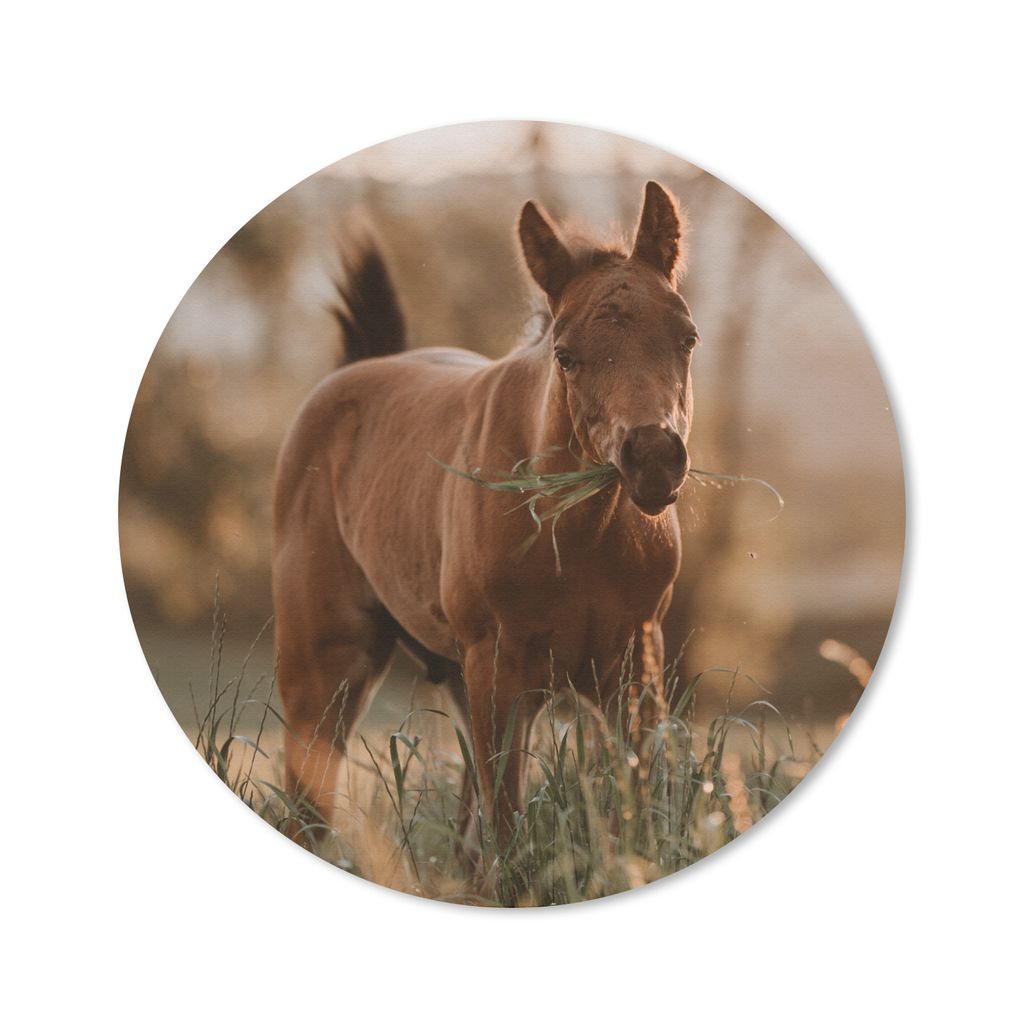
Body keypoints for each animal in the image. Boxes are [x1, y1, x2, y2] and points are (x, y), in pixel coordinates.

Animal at [272, 181, 699, 844]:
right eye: (565, 355)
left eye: (688, 338)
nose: (653, 457)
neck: (578, 537)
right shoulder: (501, 671)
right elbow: (508, 831)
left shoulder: (631, 672)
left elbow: (632, 816)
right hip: (324, 671)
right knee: (309, 812)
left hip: (455, 676)